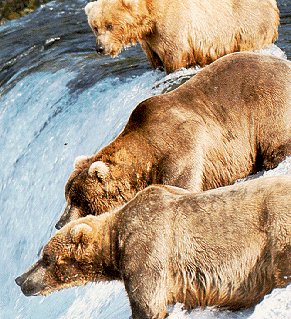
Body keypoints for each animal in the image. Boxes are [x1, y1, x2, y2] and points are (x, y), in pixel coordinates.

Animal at [15, 176, 291, 318]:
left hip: (278, 232)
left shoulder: (147, 250)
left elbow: (148, 305)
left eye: (46, 258)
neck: (115, 242)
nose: (20, 279)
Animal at [54, 52, 291, 229]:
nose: (59, 224)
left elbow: (181, 185)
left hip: (269, 106)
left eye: (77, 199)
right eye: (67, 195)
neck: (146, 156)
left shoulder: (182, 149)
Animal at [85, 0, 280, 72]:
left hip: (247, 22)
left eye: (110, 25)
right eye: (95, 27)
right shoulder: (150, 39)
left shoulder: (172, 25)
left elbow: (175, 54)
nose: (100, 48)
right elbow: (155, 57)